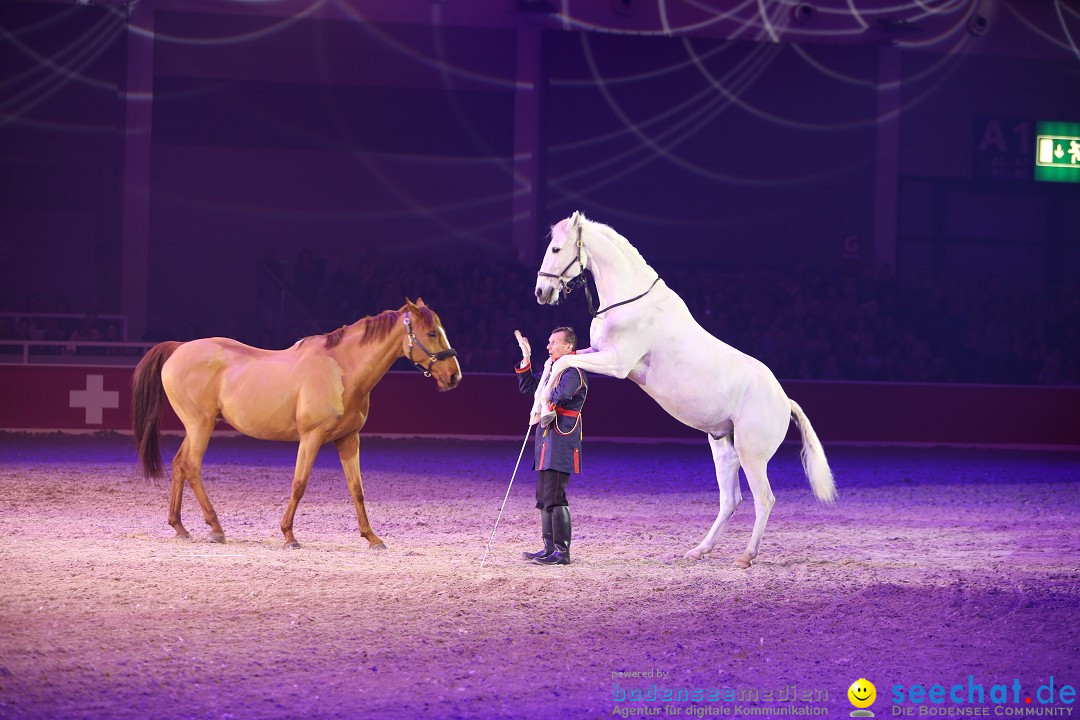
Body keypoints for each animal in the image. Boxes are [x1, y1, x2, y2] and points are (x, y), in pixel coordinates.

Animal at [131, 302, 460, 548]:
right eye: (431, 333)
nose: (454, 376)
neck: (341, 368)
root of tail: (179, 348)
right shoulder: (311, 438)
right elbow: (299, 484)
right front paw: (289, 535)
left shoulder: (349, 439)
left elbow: (357, 489)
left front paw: (372, 537)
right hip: (200, 425)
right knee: (191, 466)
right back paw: (215, 528)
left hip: (197, 426)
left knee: (179, 464)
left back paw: (180, 527)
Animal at [531, 213, 833, 569]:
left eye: (556, 248)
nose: (541, 291)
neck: (633, 302)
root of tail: (785, 400)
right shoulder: (596, 351)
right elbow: (557, 361)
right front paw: (538, 404)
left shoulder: (617, 363)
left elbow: (562, 363)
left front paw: (545, 409)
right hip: (723, 448)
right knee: (731, 500)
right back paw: (699, 550)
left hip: (752, 455)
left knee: (764, 499)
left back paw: (746, 556)